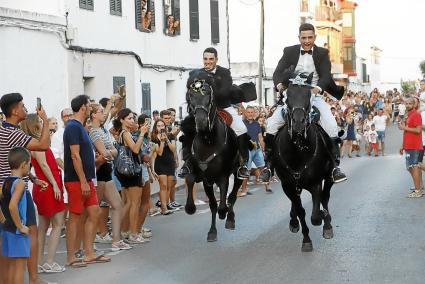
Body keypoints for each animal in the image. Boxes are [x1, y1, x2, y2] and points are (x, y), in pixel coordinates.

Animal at [182, 70, 242, 242]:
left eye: (209, 95)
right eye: (190, 96)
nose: (201, 122)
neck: (208, 140)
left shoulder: (222, 176)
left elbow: (222, 204)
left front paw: (224, 214)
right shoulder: (205, 177)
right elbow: (211, 202)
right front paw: (191, 208)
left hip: (238, 172)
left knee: (233, 196)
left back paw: (230, 218)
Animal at [274, 81, 336, 252]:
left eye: (308, 99)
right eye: (287, 99)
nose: (298, 123)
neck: (299, 149)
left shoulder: (315, 183)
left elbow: (315, 215)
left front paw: (321, 218)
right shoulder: (288, 185)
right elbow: (301, 211)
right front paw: (306, 239)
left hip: (329, 177)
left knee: (325, 197)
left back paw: (327, 225)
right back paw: (293, 221)